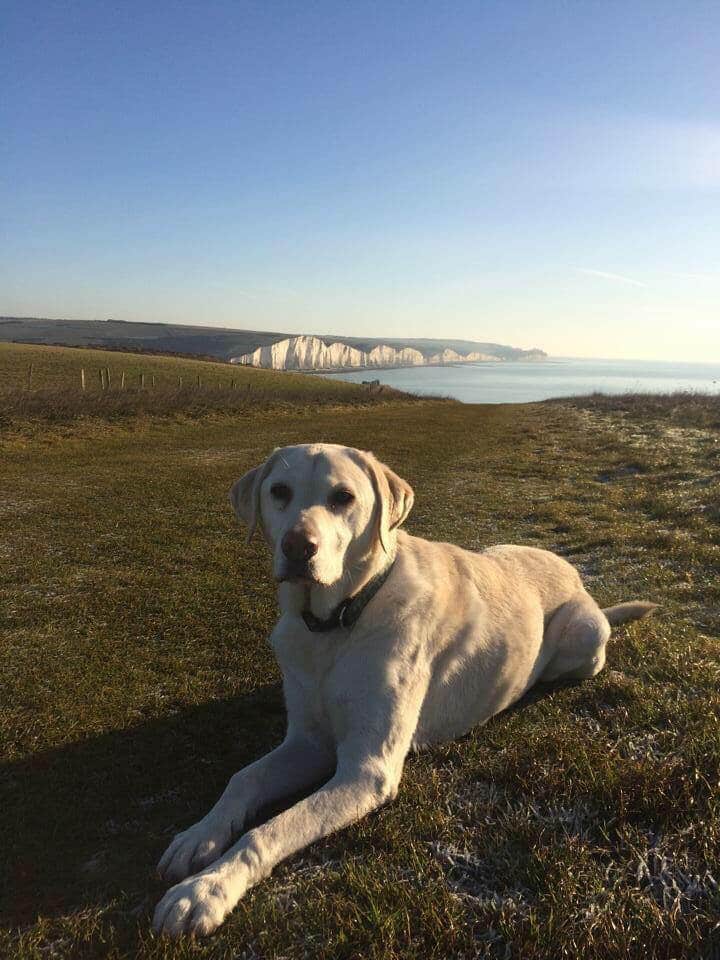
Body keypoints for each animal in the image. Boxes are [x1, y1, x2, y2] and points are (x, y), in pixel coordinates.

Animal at [153, 444, 660, 936]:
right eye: (279, 491)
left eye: (343, 497)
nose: (297, 547)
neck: (340, 621)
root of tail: (576, 576)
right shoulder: (308, 742)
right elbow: (244, 778)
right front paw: (198, 835)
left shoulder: (365, 769)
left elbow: (270, 830)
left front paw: (206, 890)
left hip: (584, 638)